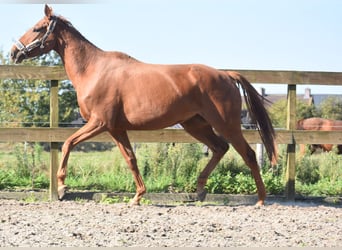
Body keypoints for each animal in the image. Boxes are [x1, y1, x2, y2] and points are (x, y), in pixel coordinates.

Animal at [11, 4, 278, 206]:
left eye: (37, 28)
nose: (14, 52)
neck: (93, 70)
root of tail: (226, 75)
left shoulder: (99, 123)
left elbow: (67, 143)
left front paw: (62, 187)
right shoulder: (116, 128)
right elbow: (131, 159)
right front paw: (138, 196)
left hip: (225, 124)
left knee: (247, 154)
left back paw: (260, 199)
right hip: (196, 124)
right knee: (220, 148)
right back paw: (200, 190)